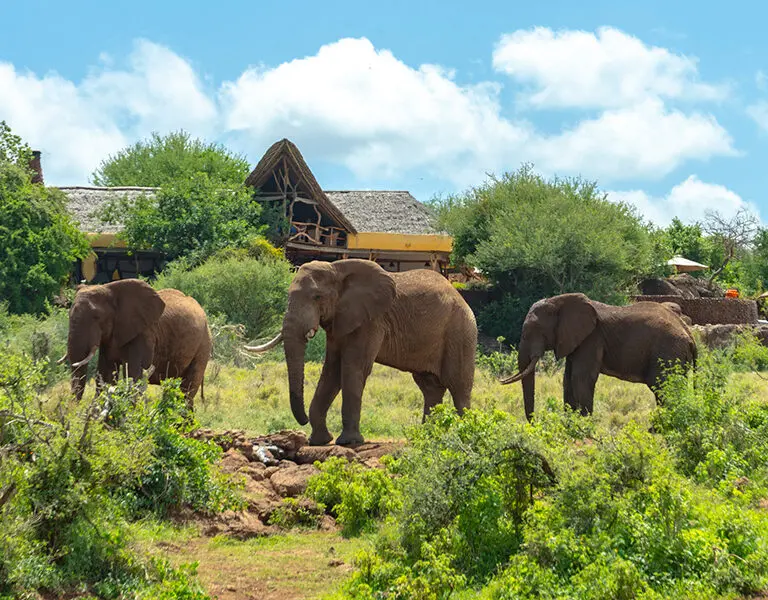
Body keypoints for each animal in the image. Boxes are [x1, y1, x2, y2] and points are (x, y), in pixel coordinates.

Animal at [60, 279, 212, 407]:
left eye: (97, 317)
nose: (73, 407)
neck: (111, 289)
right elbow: (106, 375)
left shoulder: (144, 334)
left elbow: (133, 374)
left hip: (204, 343)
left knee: (187, 389)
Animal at [245, 259, 477, 446]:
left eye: (317, 297)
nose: (302, 421)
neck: (336, 269)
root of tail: (460, 296)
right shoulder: (340, 320)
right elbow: (332, 369)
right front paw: (319, 441)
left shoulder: (371, 321)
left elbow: (352, 367)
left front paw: (348, 442)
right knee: (430, 388)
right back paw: (427, 437)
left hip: (460, 332)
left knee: (458, 386)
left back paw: (465, 434)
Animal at [501, 293, 697, 421]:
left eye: (531, 332)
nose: (534, 422)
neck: (560, 301)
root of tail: (689, 335)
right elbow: (568, 379)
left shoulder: (592, 338)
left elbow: (580, 378)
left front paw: (583, 425)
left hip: (668, 353)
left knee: (664, 388)